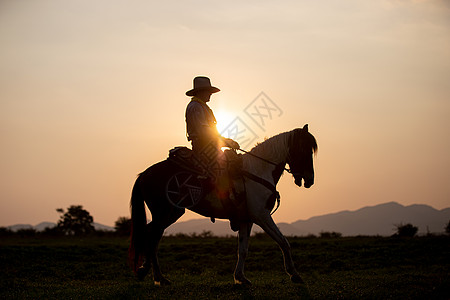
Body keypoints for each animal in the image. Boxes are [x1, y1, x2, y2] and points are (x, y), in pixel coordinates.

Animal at [128, 125, 318, 286]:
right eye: (304, 150)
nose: (310, 180)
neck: (258, 170)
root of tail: (144, 174)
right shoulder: (262, 216)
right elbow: (283, 242)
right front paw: (295, 274)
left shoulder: (246, 219)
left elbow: (243, 249)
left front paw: (240, 278)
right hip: (168, 212)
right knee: (152, 236)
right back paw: (158, 276)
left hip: (165, 214)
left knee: (151, 235)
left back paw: (149, 272)